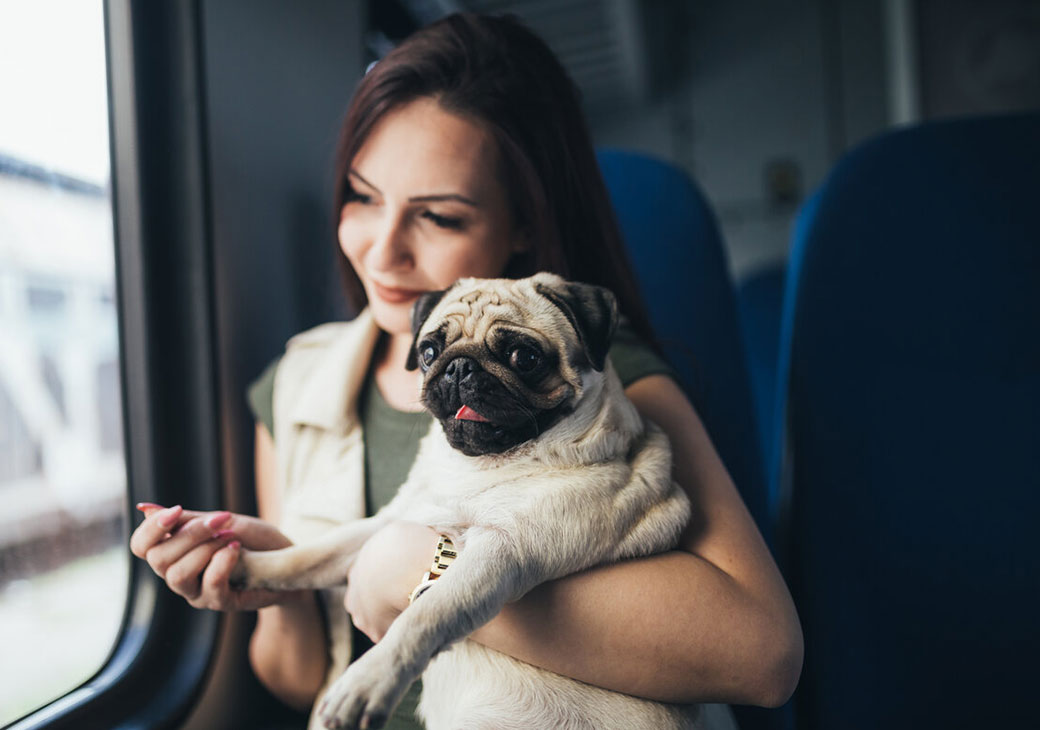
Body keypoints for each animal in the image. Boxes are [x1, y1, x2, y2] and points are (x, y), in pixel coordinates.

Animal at [231, 274, 707, 730]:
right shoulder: (392, 521)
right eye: (428, 351)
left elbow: (426, 616)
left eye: (524, 358)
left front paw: (369, 681)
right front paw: (248, 566)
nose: (459, 366)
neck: (479, 467)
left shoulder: (502, 553)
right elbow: (312, 554)